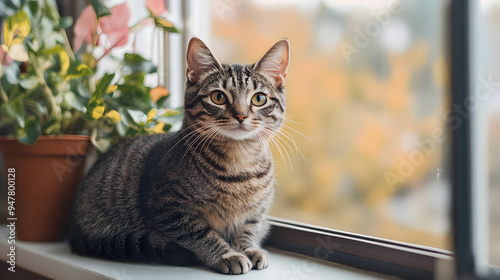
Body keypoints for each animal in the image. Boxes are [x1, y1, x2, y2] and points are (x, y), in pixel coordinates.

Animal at [68, 36, 292, 274]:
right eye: (218, 97)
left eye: (259, 99)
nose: (241, 115)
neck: (239, 162)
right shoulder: (169, 209)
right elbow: (203, 234)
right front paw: (227, 254)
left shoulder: (257, 213)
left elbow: (249, 228)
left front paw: (249, 248)